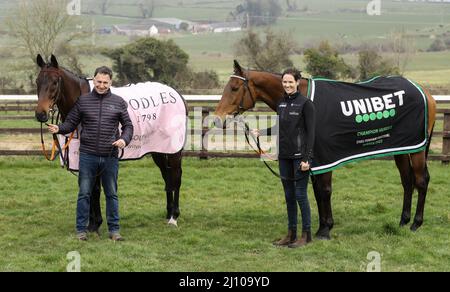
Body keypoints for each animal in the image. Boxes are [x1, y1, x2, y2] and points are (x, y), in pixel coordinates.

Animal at [214, 60, 436, 240]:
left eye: (234, 88)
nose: (217, 119)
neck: (303, 99)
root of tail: (425, 93)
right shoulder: (313, 161)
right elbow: (317, 191)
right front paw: (323, 226)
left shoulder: (326, 157)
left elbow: (325, 190)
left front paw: (325, 229)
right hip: (402, 148)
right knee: (407, 181)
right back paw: (403, 221)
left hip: (416, 149)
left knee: (420, 180)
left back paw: (416, 223)